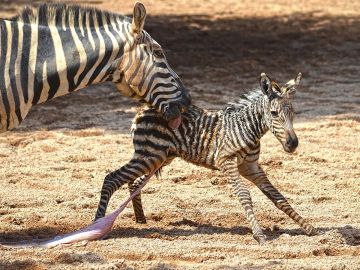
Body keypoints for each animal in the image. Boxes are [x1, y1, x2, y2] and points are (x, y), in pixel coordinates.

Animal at [94, 71, 316, 243]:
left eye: (294, 113)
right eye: (274, 113)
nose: (292, 144)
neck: (247, 129)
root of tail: (143, 109)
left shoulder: (251, 166)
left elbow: (277, 196)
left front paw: (307, 227)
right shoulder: (227, 162)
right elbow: (244, 195)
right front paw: (259, 235)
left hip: (159, 157)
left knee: (134, 182)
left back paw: (140, 219)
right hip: (150, 155)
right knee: (112, 179)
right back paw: (98, 224)